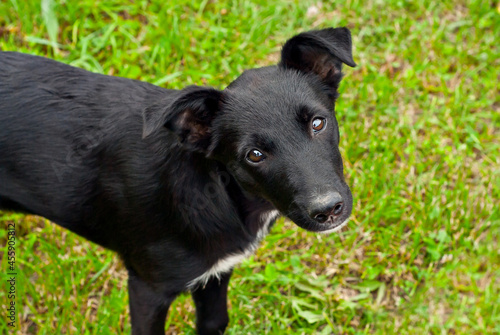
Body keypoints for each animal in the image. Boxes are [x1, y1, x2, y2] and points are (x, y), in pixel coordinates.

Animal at [1, 27, 358, 334]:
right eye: (254, 155)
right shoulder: (147, 289)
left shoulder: (215, 274)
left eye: (318, 122)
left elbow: (214, 322)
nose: (328, 210)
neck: (217, 191)